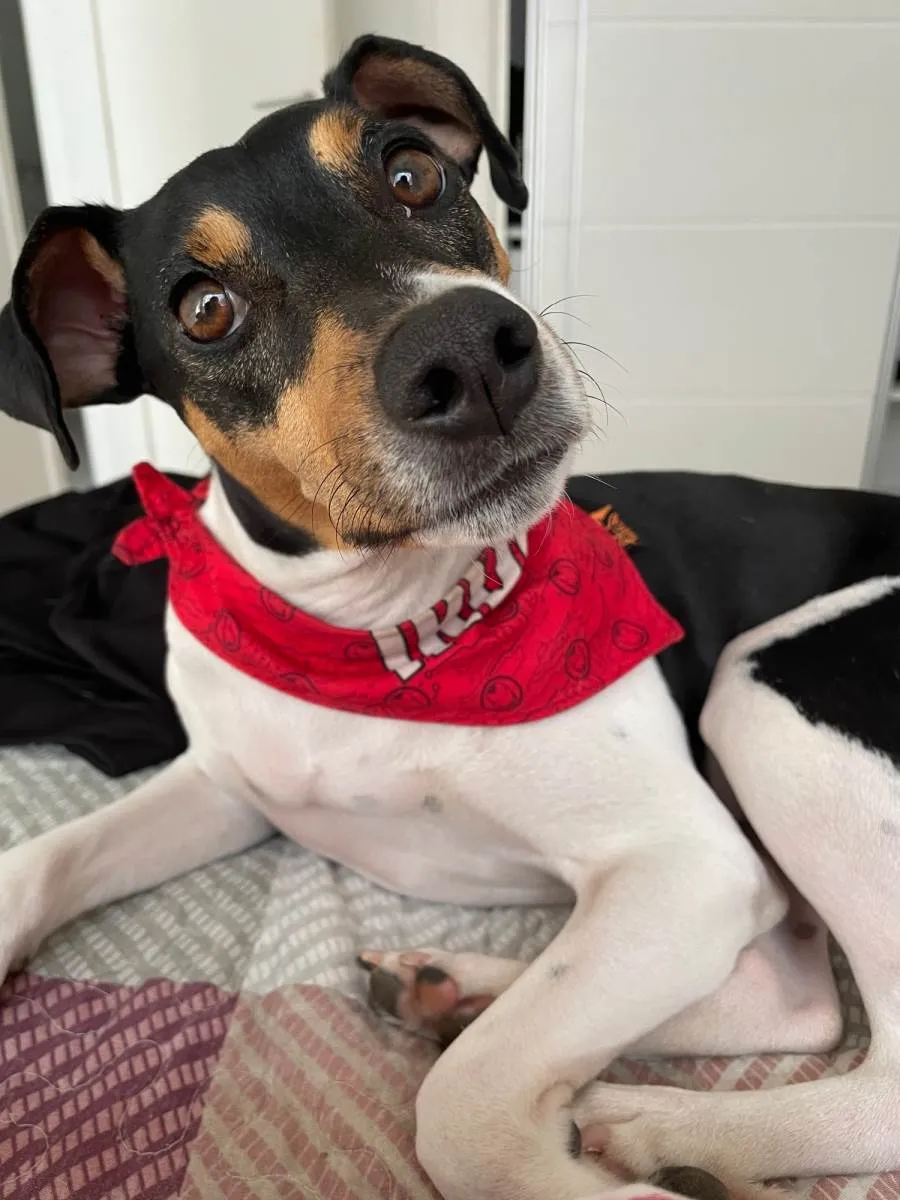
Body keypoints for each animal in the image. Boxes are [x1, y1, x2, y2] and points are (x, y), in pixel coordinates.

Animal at [2, 32, 900, 1200]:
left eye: (414, 172)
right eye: (204, 308)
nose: (471, 351)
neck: (377, 630)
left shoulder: (682, 863)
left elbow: (464, 1108)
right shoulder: (228, 787)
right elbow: (44, 860)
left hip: (768, 689)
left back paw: (661, 1126)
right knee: (792, 992)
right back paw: (468, 995)